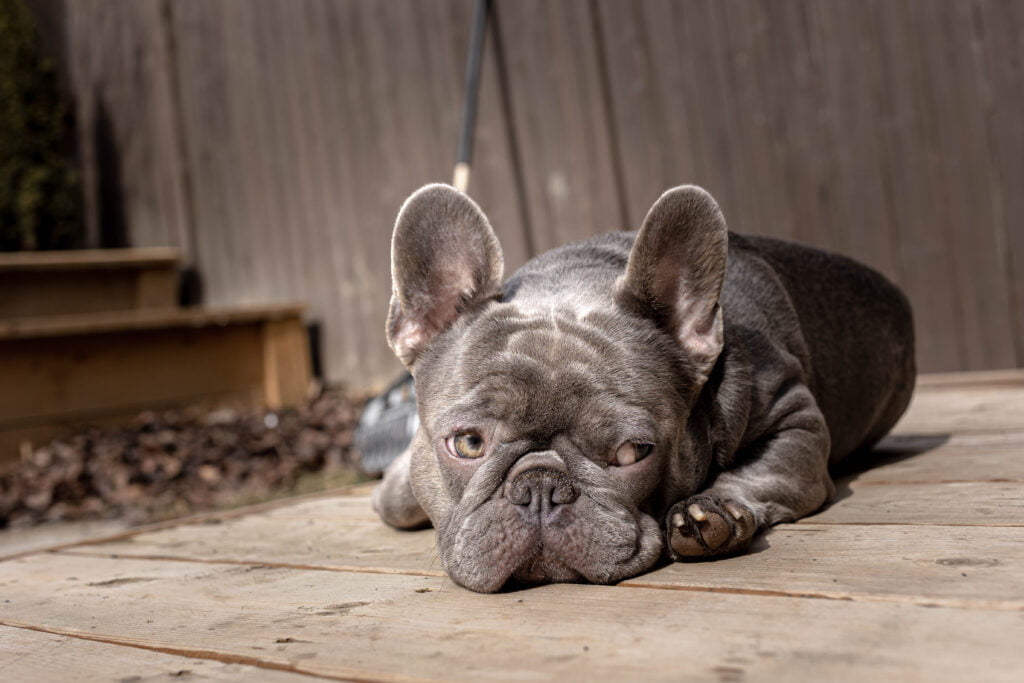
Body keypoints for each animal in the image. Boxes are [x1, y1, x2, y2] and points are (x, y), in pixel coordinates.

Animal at [372, 183, 917, 593]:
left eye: (633, 452)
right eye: (467, 444)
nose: (540, 487)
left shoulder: (795, 419)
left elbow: (764, 472)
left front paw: (714, 509)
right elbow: (397, 500)